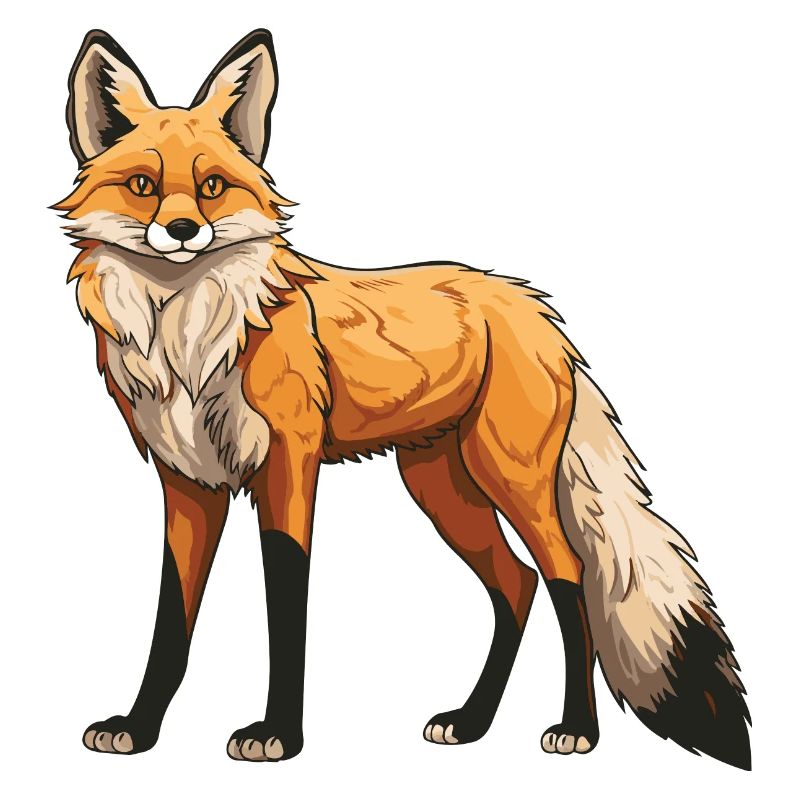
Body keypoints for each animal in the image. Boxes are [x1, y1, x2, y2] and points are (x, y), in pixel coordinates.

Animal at [56, 29, 751, 769]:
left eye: (212, 187)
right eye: (143, 187)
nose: (184, 231)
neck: (189, 343)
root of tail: (531, 306)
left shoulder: (289, 466)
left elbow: (287, 605)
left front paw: (279, 734)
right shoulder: (189, 483)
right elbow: (171, 620)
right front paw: (139, 726)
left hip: (510, 478)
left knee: (567, 577)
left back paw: (577, 728)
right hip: (439, 485)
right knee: (517, 585)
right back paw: (472, 721)